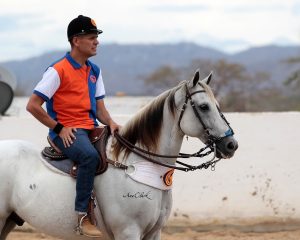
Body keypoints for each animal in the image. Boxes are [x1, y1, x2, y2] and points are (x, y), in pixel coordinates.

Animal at [0, 70, 239, 239]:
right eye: (204, 106)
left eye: (217, 105)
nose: (231, 144)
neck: (136, 164)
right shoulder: (128, 232)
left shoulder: (154, 233)